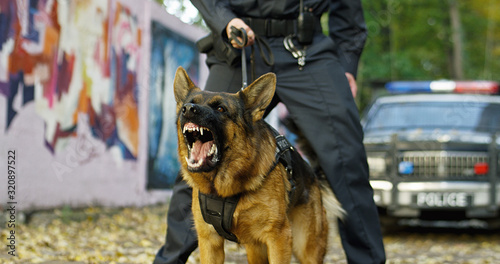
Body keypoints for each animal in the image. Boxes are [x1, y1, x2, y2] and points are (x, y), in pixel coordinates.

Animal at [173, 67, 344, 262]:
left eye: (220, 108)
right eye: (190, 103)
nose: (188, 109)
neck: (224, 189)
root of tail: (312, 175)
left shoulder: (279, 238)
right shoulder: (209, 242)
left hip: (307, 250)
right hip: (256, 250)